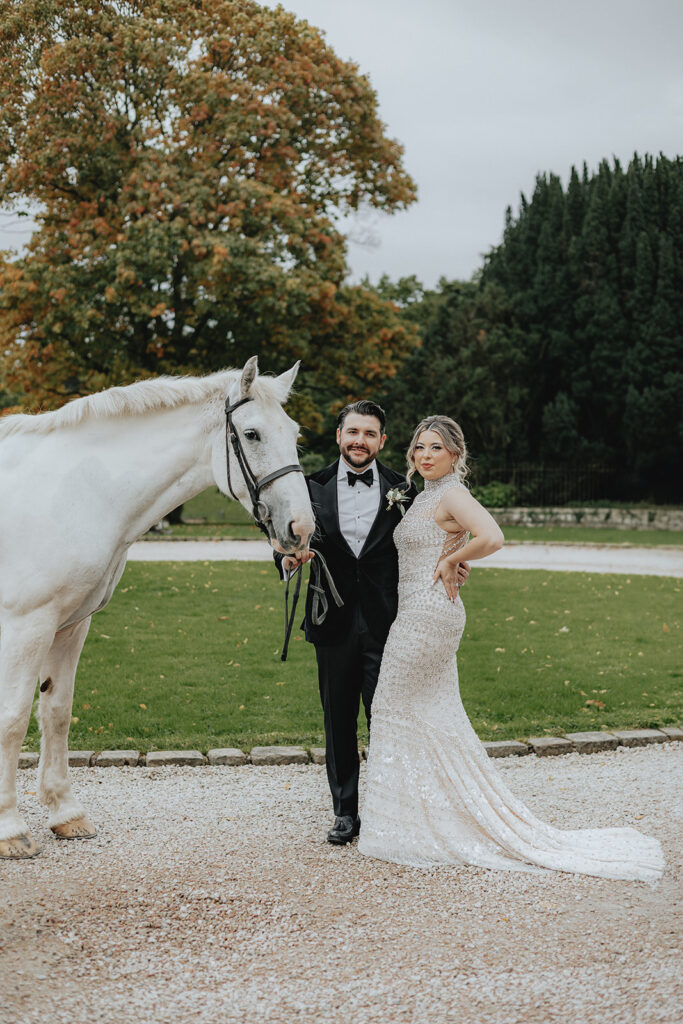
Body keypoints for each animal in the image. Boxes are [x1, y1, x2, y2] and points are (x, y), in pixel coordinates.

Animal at [0, 358, 313, 856]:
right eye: (252, 434)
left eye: (295, 433)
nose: (301, 528)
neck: (74, 491)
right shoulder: (25, 626)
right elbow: (12, 719)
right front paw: (10, 829)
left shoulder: (70, 626)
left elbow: (57, 711)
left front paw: (66, 813)